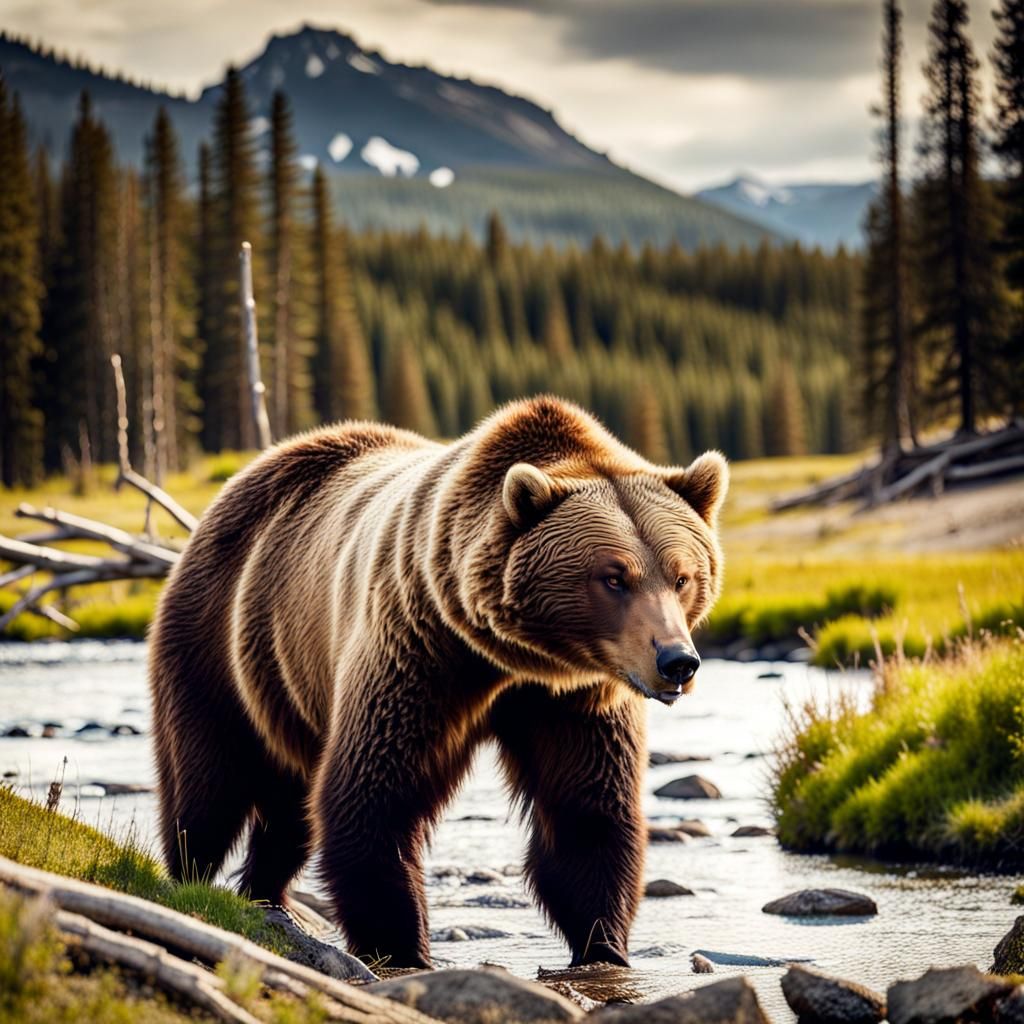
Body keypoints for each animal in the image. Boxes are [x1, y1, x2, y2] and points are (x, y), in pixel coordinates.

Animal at [149, 395, 729, 970]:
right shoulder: (418, 650)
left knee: (288, 806)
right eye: (613, 576)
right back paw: (190, 881)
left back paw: (264, 894)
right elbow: (374, 793)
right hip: (216, 638)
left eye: (682, 575)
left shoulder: (574, 698)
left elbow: (587, 808)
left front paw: (603, 946)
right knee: (207, 781)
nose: (678, 661)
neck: (517, 655)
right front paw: (400, 945)